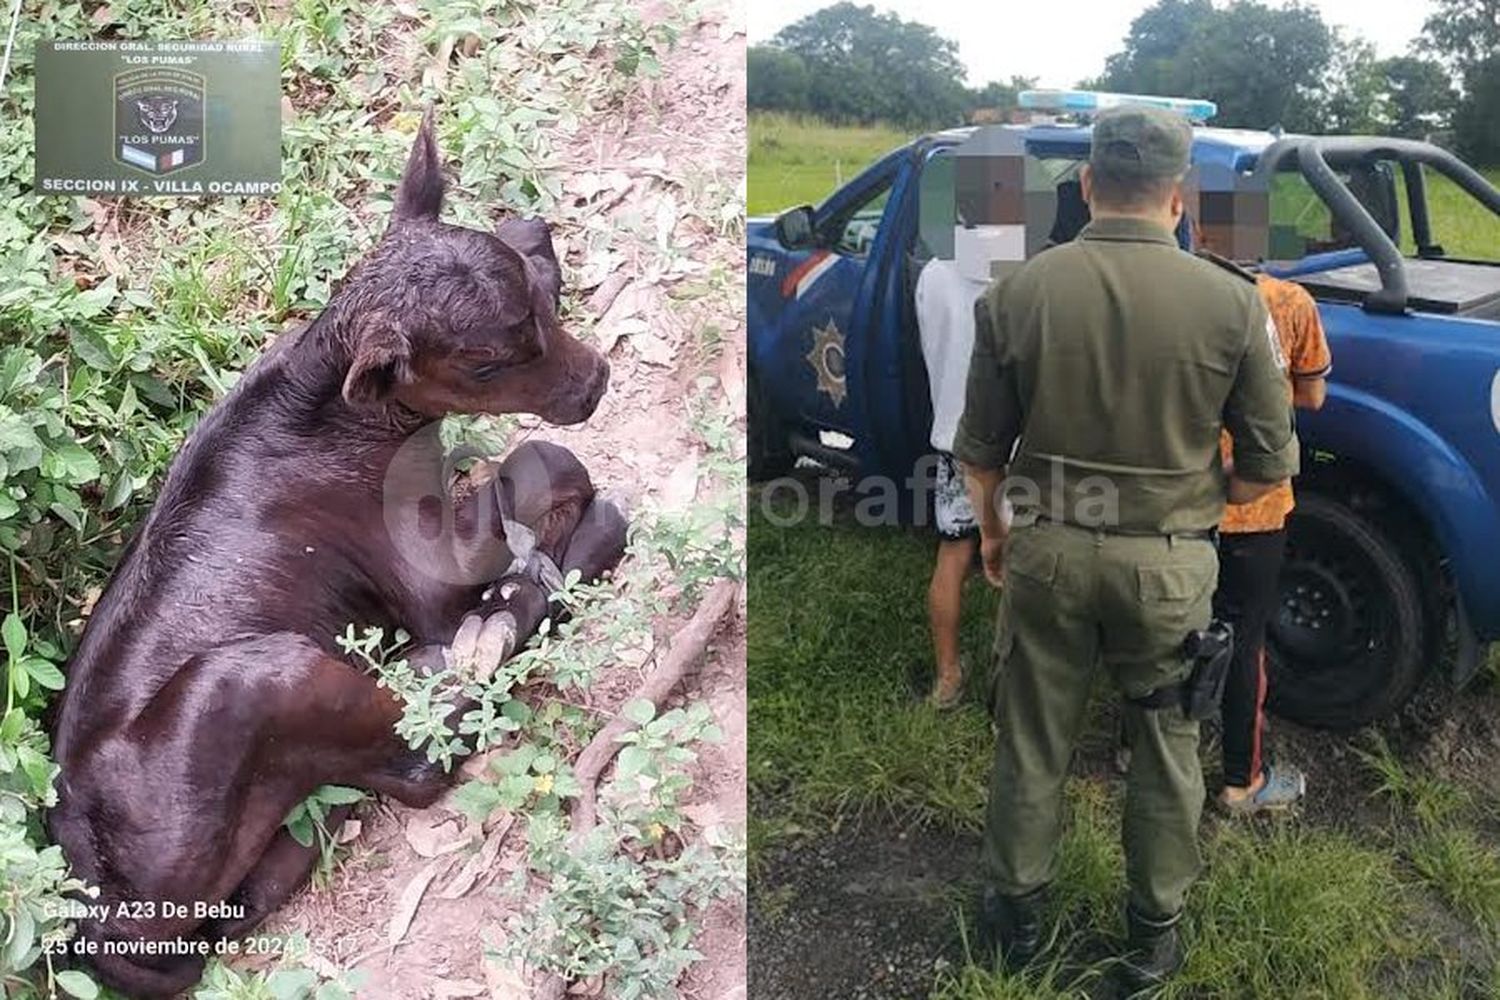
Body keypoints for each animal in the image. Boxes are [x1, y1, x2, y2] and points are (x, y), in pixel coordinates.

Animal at [43, 113, 624, 995]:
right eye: (487, 362)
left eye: (535, 309)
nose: (593, 382)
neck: (344, 410)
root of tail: (98, 927)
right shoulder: (418, 571)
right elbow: (545, 461)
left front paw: (534, 236)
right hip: (247, 685)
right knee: (416, 761)